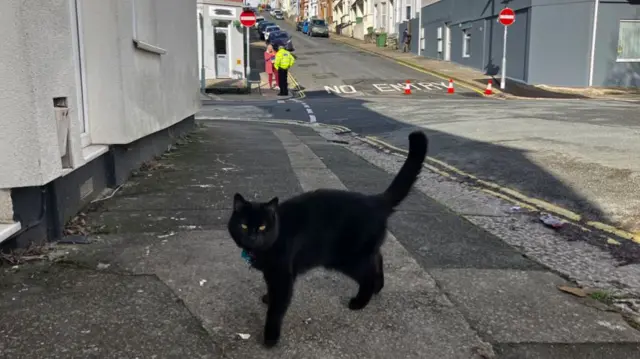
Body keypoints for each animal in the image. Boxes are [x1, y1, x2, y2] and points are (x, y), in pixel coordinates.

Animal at [228, 131, 428, 348]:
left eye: (263, 226)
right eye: (244, 225)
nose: (252, 236)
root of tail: (375, 201)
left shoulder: (282, 275)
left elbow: (276, 309)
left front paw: (270, 337)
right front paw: (267, 297)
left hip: (348, 258)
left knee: (368, 274)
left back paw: (360, 302)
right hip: (362, 251)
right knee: (378, 258)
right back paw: (378, 288)